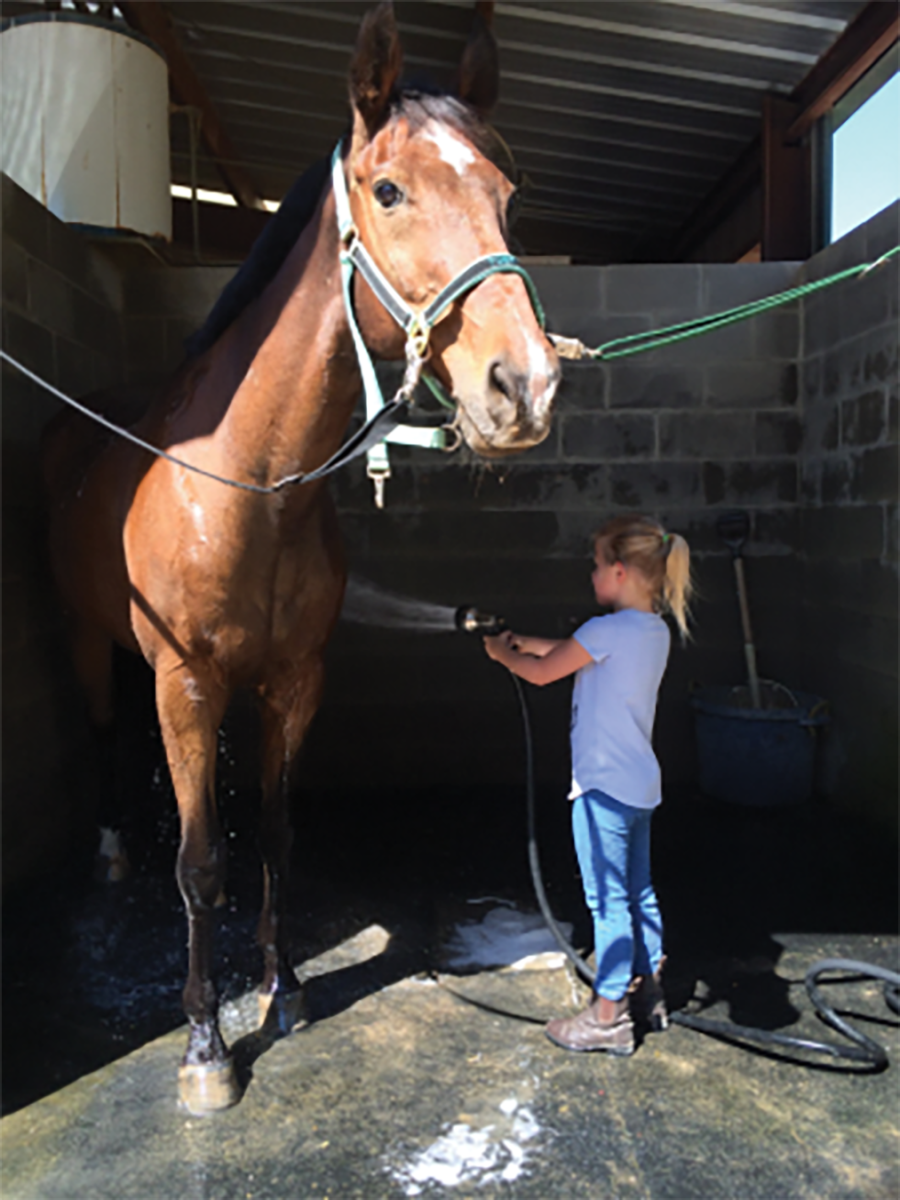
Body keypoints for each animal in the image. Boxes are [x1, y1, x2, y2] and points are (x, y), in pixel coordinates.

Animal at [40, 0, 560, 1114]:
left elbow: (276, 834)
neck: (251, 487)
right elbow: (204, 864)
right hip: (89, 641)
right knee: (105, 731)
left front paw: (284, 993)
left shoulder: (295, 680)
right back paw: (110, 851)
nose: (525, 387)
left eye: (506, 194)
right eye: (389, 188)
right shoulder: (188, 684)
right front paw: (205, 1047)